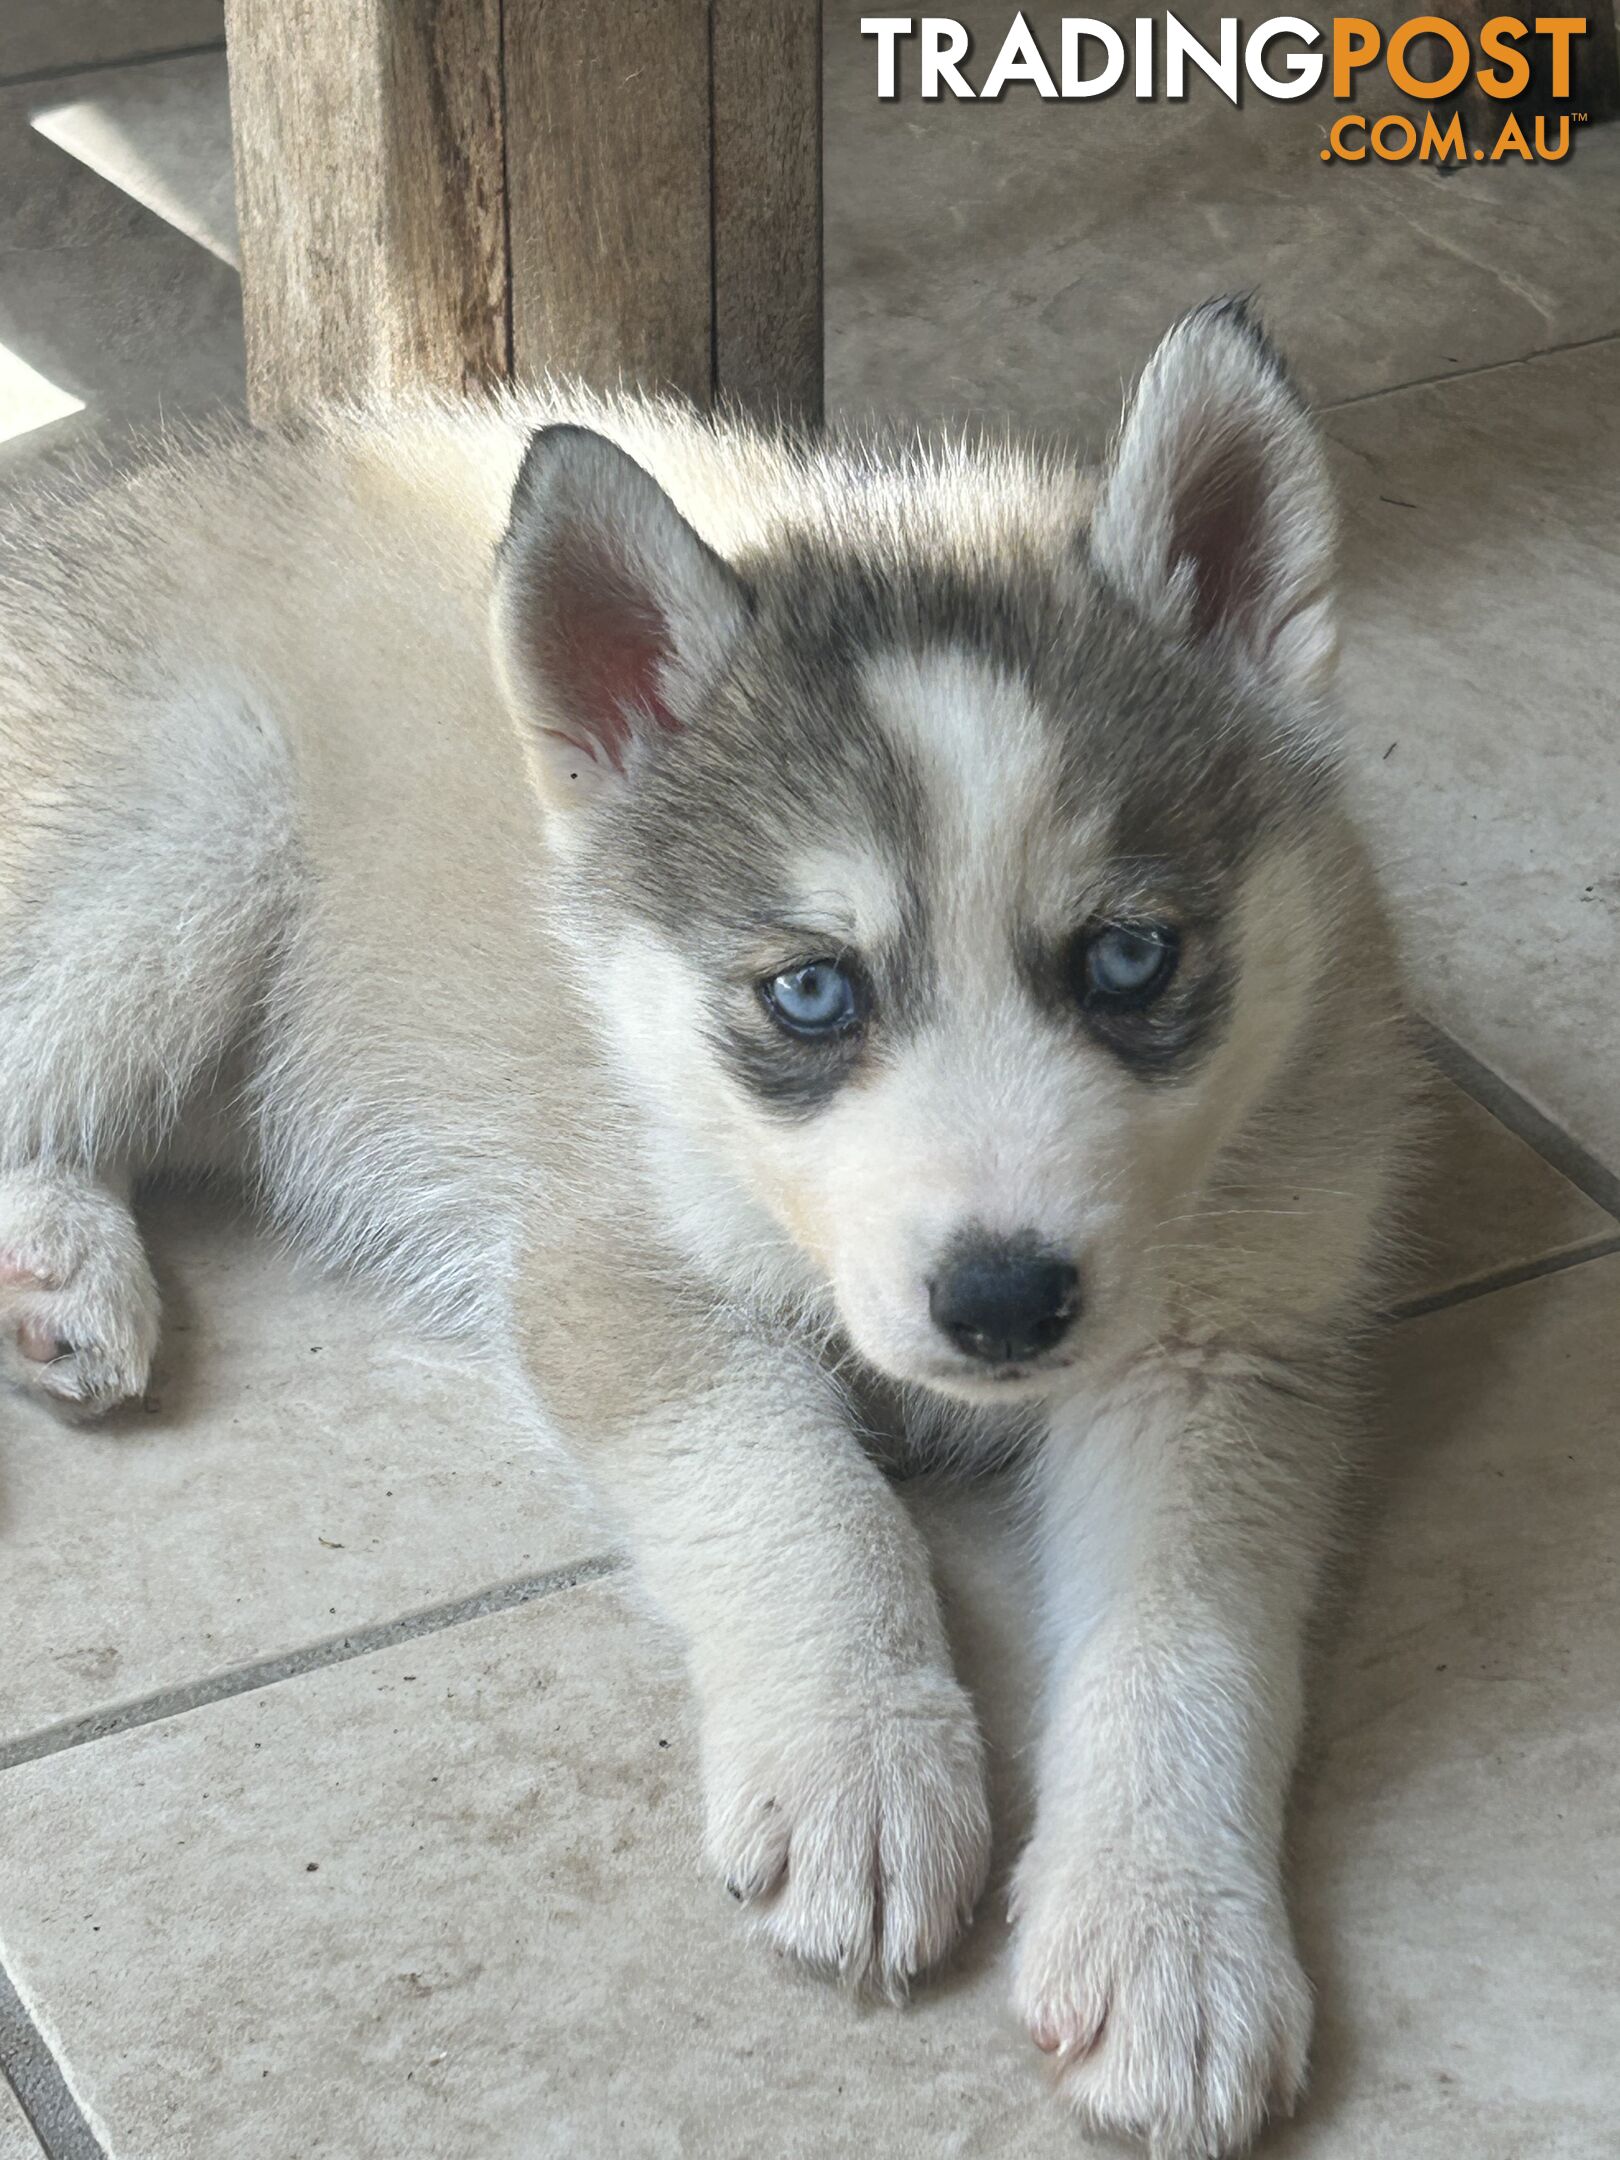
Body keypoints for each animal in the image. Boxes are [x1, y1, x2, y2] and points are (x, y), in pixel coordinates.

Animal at [0, 308, 1416, 2160]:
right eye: (809, 993)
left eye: (1129, 958)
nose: (1006, 1302)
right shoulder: (614, 1262)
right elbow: (802, 1496)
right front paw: (865, 1762)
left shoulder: (1225, 1344)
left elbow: (1191, 1637)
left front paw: (1170, 1933)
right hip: (198, 825)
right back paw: (63, 1261)